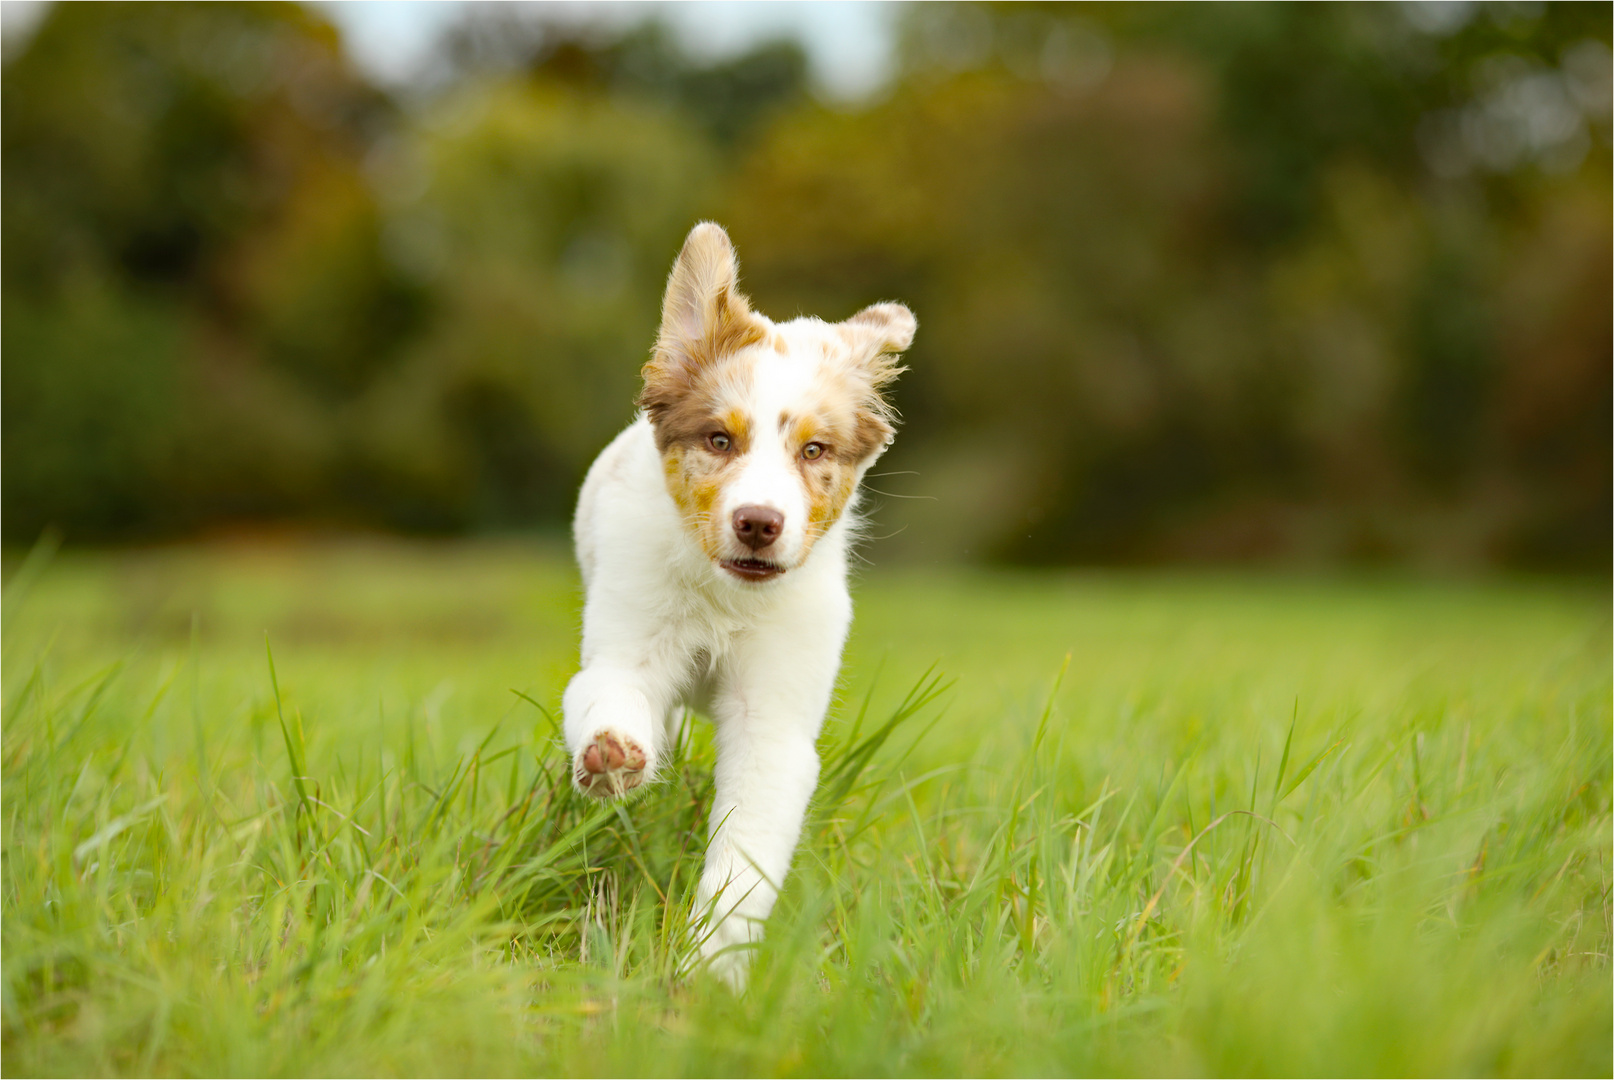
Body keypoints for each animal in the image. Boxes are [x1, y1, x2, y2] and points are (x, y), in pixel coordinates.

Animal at [561, 221, 916, 987]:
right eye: (719, 440)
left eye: (814, 450)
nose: (758, 523)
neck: (723, 601)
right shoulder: (629, 639)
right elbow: (611, 693)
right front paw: (615, 753)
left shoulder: (774, 718)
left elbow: (745, 856)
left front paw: (708, 970)